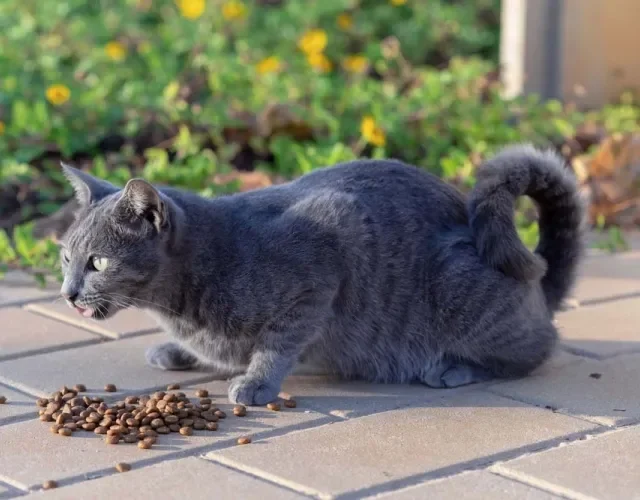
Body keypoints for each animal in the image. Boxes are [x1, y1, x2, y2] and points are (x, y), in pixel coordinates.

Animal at [60, 146, 584, 406]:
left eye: (98, 262)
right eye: (66, 257)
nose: (67, 293)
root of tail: (540, 286)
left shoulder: (327, 256)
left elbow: (278, 343)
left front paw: (256, 383)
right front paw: (179, 351)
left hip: (463, 287)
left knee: (538, 347)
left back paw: (453, 367)